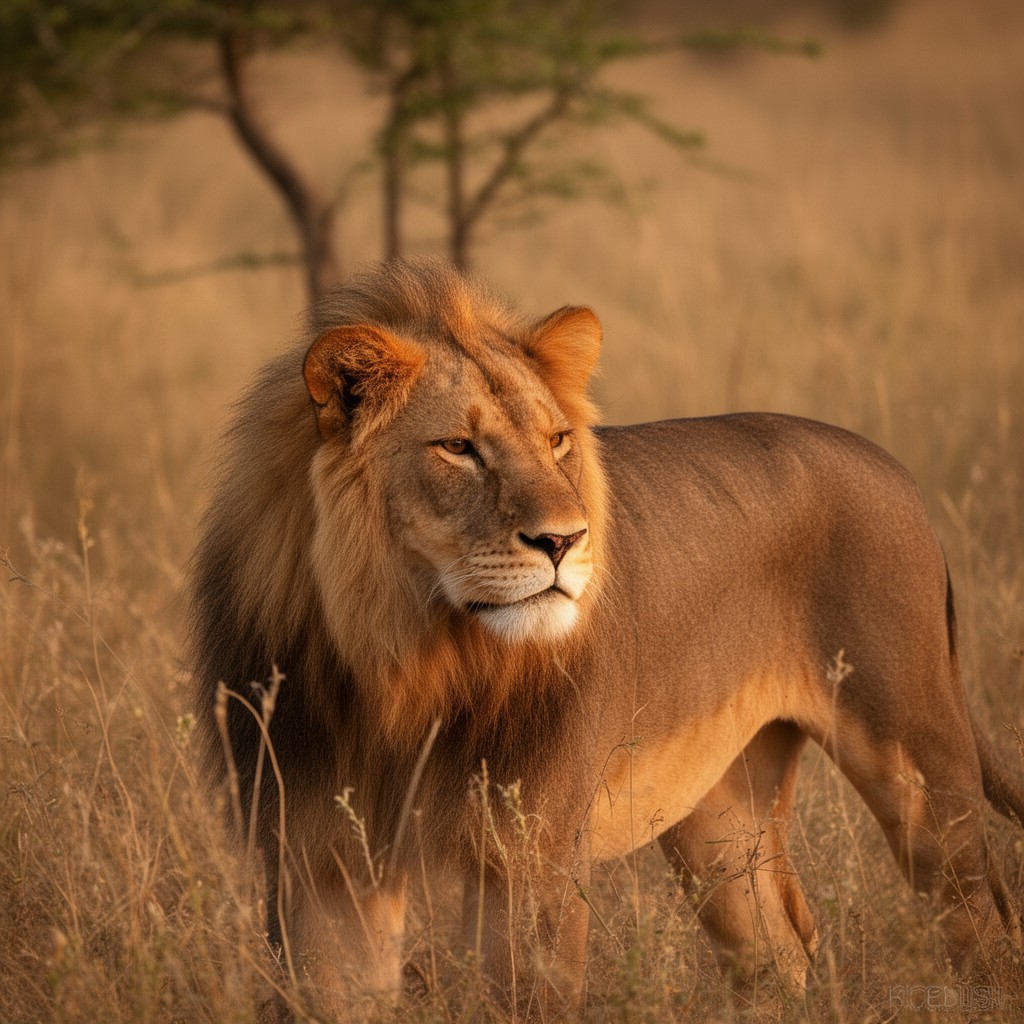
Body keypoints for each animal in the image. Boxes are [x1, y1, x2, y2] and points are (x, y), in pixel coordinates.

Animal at [189, 258, 1023, 1019]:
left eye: (558, 439)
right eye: (458, 448)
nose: (565, 540)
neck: (404, 662)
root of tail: (894, 469)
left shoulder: (533, 860)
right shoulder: (320, 865)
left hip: (920, 769)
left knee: (985, 932)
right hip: (721, 811)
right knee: (777, 952)